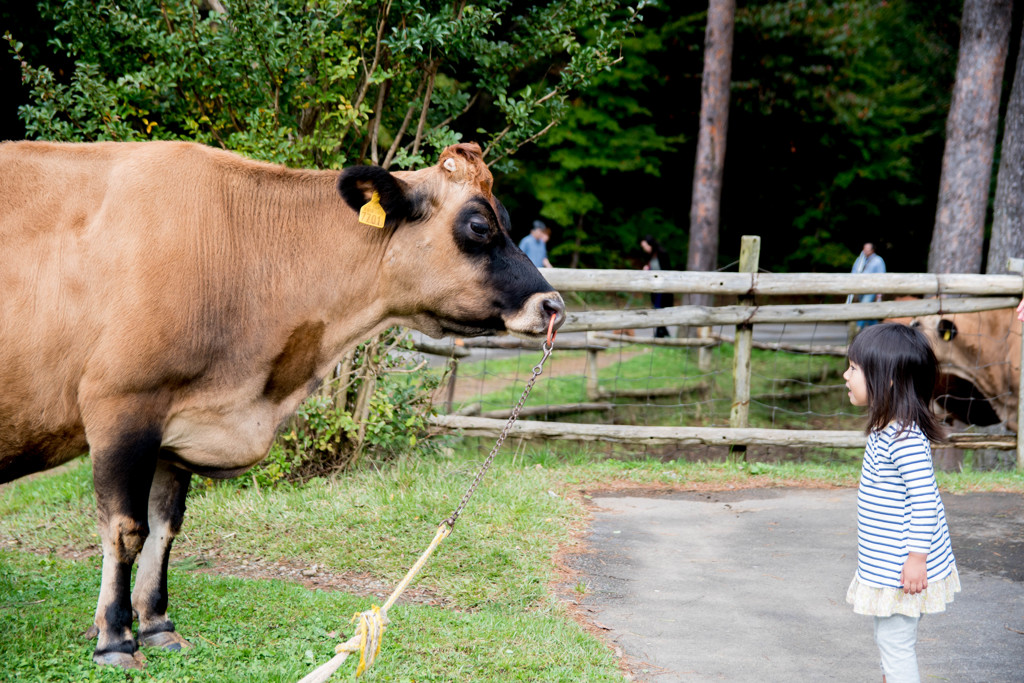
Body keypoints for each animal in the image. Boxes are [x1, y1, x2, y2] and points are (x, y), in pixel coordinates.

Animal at [0, 139, 569, 667]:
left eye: (507, 220)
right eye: (477, 226)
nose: (554, 305)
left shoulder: (178, 424)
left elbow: (166, 526)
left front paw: (158, 625)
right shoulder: (121, 405)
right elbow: (126, 530)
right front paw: (116, 639)